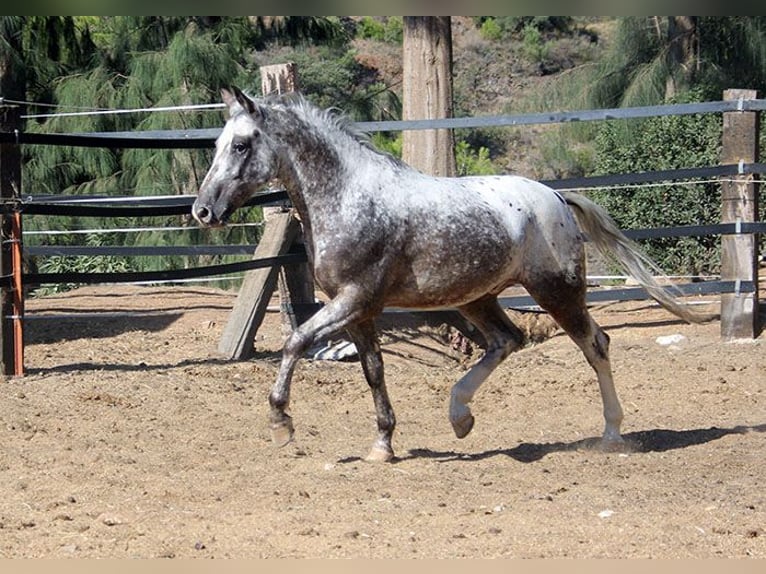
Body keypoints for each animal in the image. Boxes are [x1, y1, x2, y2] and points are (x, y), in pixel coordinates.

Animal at [192, 86, 708, 464]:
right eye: (216, 145)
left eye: (241, 144)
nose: (203, 211)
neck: (349, 197)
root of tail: (558, 198)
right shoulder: (361, 311)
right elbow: (374, 372)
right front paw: (382, 446)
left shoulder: (354, 299)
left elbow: (295, 341)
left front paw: (281, 424)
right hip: (477, 297)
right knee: (507, 340)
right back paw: (460, 416)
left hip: (556, 291)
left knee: (595, 344)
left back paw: (612, 433)